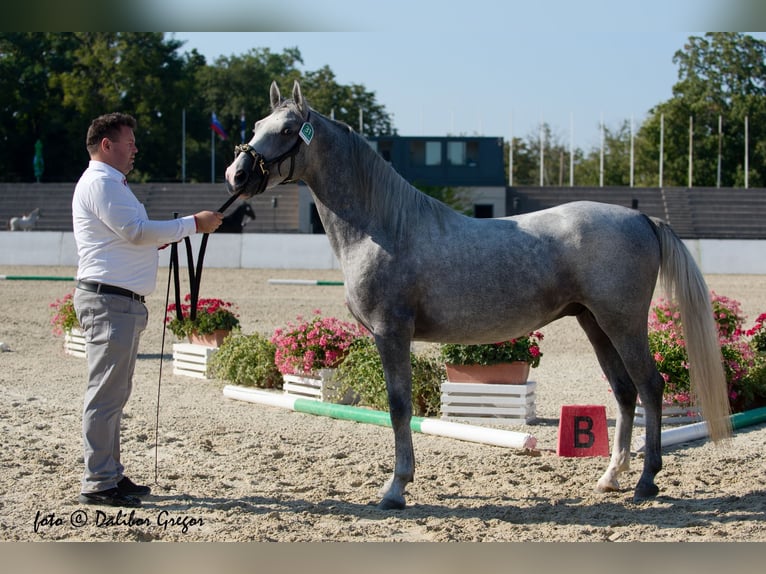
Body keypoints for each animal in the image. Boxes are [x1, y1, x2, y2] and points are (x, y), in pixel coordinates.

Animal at [225, 81, 736, 512]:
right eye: (255, 126)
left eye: (287, 130)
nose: (237, 173)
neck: (383, 227)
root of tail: (642, 218)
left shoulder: (392, 333)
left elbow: (398, 407)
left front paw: (395, 489)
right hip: (595, 323)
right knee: (625, 391)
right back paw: (611, 477)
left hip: (623, 322)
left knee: (650, 387)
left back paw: (646, 482)